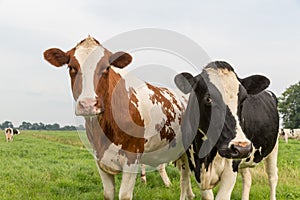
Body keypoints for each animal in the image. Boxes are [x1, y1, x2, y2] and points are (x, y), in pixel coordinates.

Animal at [44, 36, 195, 200]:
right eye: (71, 67)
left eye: (106, 68)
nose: (88, 104)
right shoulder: (99, 158)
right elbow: (108, 193)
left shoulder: (132, 157)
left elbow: (124, 195)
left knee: (185, 175)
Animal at [175, 61, 280, 200]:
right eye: (209, 98)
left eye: (243, 99)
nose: (241, 147)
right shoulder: (195, 167)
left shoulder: (231, 168)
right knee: (247, 178)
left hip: (273, 147)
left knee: (272, 177)